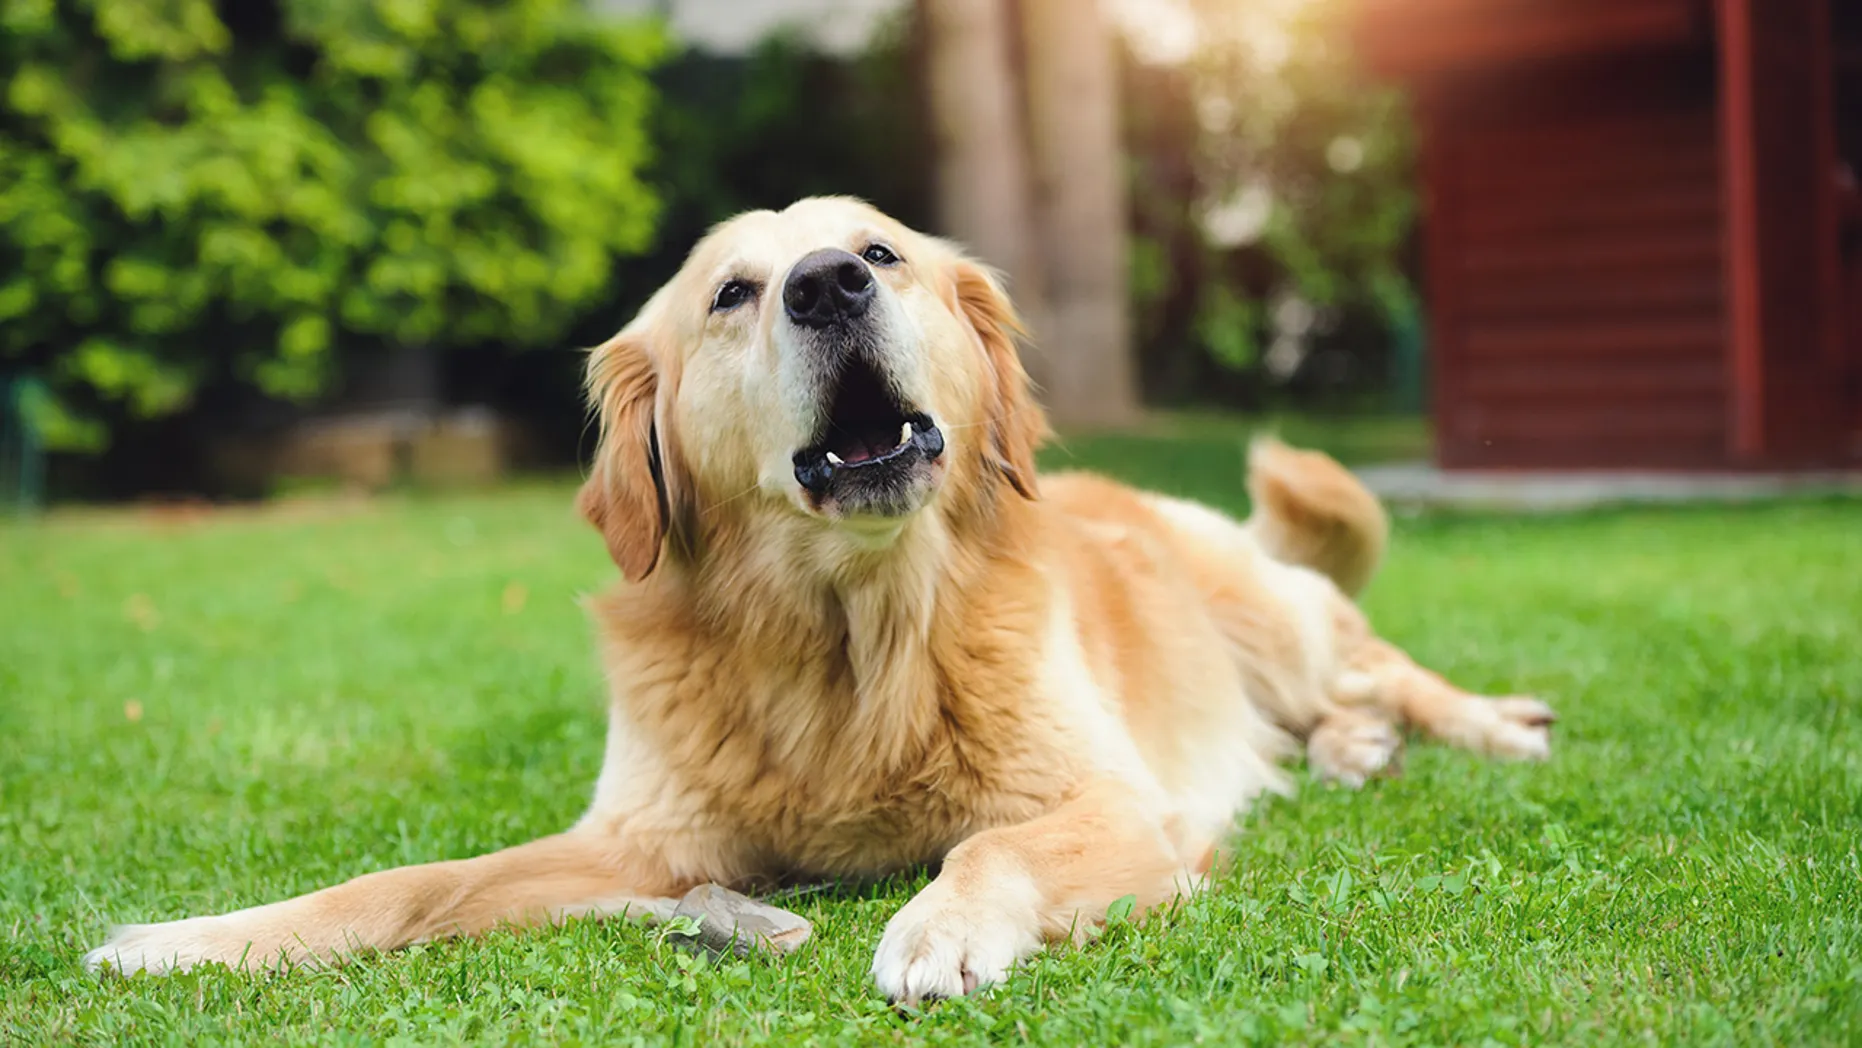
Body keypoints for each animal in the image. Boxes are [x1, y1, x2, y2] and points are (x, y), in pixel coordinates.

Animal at [90, 194, 1556, 997]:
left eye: (882, 253)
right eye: (733, 292)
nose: (827, 283)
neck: (848, 636)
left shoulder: (1117, 806)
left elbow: (987, 847)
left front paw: (942, 929)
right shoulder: (640, 846)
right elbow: (406, 883)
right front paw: (192, 939)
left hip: (1272, 615)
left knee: (1379, 668)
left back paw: (1481, 724)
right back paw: (1358, 752)